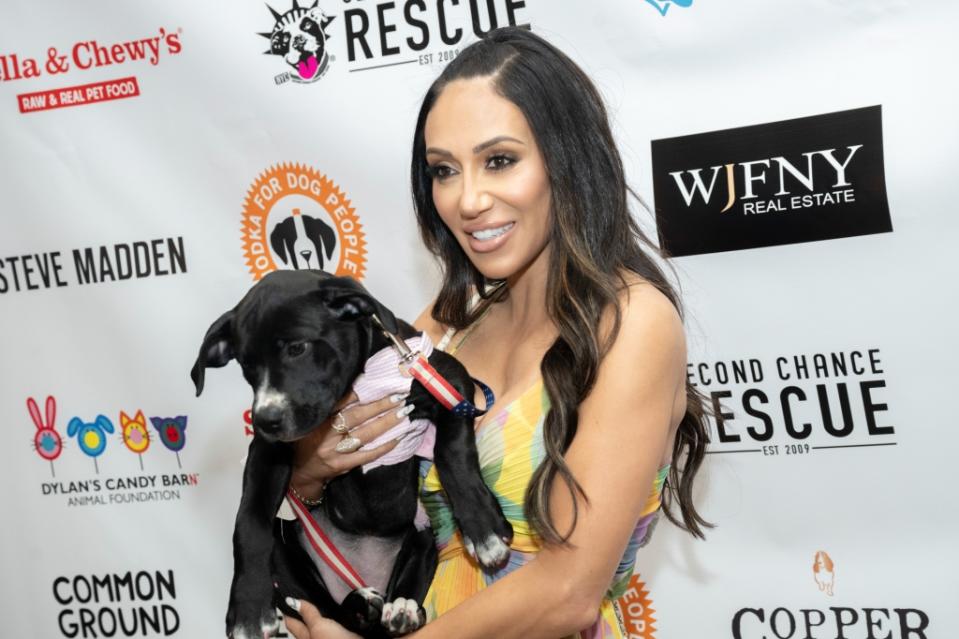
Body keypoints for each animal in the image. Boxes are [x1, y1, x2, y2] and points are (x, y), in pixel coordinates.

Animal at [190, 272, 512, 639]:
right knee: (329, 611)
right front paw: (248, 608)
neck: (358, 384)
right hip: (288, 552)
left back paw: (401, 608)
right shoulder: (266, 452)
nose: (265, 420)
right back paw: (361, 606)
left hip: (424, 534)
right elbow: (250, 520)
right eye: (246, 365)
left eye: (297, 348)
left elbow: (452, 453)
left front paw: (483, 529)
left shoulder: (449, 383)